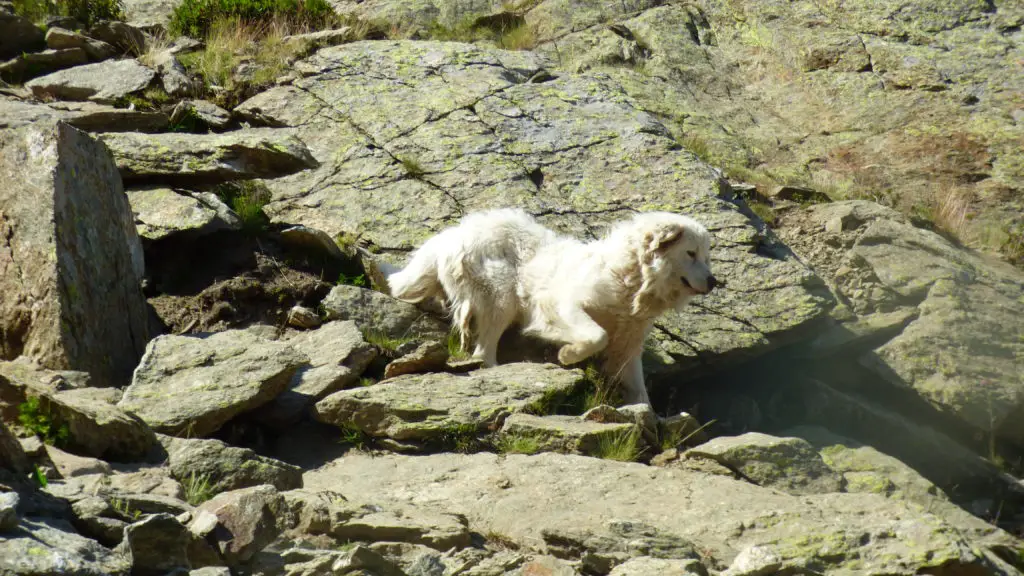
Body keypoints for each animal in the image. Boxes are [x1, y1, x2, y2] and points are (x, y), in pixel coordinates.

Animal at [387, 207, 716, 403]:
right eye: (691, 253)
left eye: (706, 256)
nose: (714, 282)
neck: (631, 277)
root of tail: (455, 232)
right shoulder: (562, 305)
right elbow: (597, 335)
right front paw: (568, 354)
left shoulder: (629, 342)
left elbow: (638, 386)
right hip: (501, 296)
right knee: (484, 350)